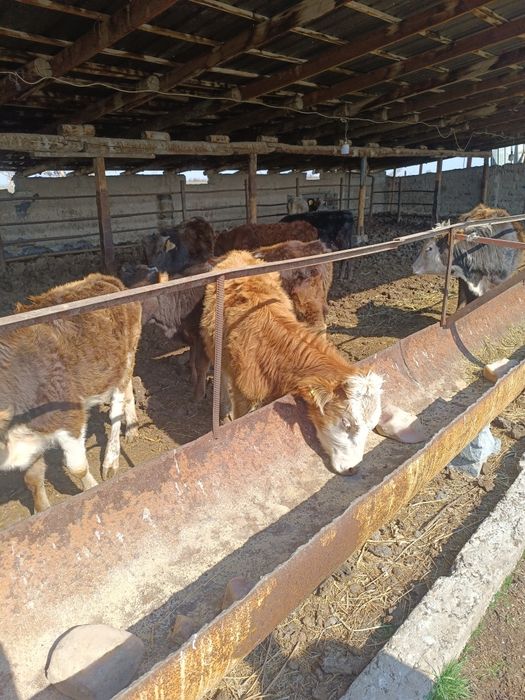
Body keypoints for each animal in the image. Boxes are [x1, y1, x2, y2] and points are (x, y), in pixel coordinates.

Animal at [0, 274, 142, 512]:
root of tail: (104, 278)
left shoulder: (69, 419)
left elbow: (77, 467)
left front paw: (93, 489)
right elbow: (33, 478)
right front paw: (42, 511)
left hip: (128, 352)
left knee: (116, 411)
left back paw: (111, 460)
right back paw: (132, 428)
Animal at [120, 262, 211, 401]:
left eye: (142, 299)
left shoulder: (201, 336)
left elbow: (201, 364)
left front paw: (198, 394)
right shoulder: (190, 332)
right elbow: (192, 355)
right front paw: (192, 379)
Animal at [200, 250, 383, 475]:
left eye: (371, 426)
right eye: (346, 423)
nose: (353, 468)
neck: (272, 348)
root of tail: (238, 254)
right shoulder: (244, 395)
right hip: (213, 344)